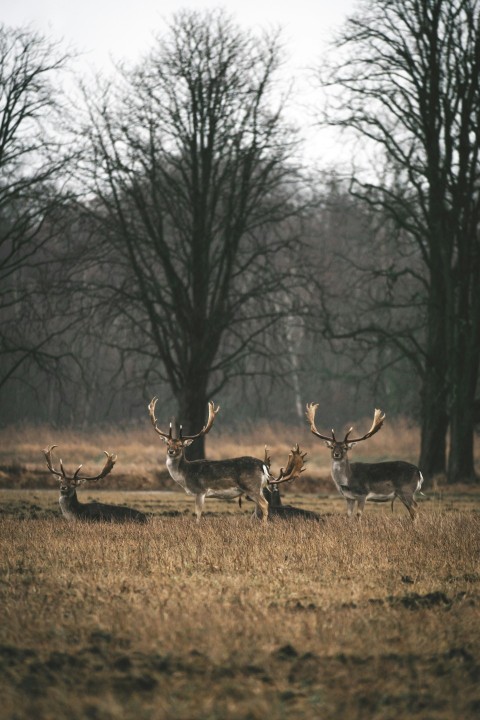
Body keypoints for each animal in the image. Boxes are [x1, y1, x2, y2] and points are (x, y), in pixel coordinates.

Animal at [148, 397, 306, 523]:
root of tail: (263, 465)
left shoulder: (200, 490)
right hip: (259, 488)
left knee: (265, 504)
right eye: (167, 443)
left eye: (180, 445)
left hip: (251, 486)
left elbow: (198, 514)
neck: (185, 475)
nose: (171, 451)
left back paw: (264, 525)